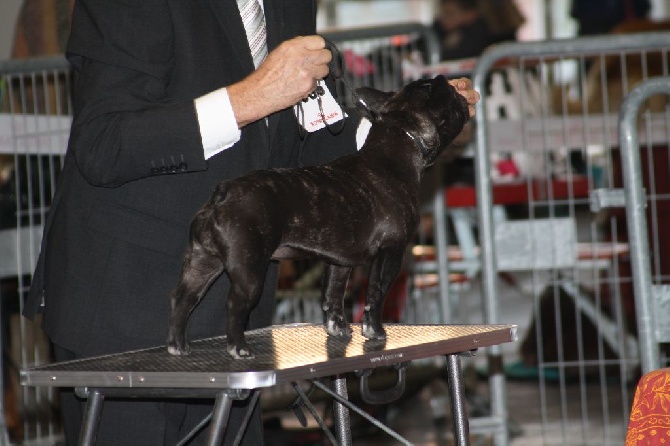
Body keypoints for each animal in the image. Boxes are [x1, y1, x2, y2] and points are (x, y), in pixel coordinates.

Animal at [168, 74, 472, 358]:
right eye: (434, 90)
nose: (450, 82)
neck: (399, 143)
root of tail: (222, 195)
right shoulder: (391, 251)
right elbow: (376, 293)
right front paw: (375, 331)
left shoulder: (339, 261)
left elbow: (332, 293)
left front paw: (338, 329)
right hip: (249, 267)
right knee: (235, 303)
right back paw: (238, 348)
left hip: (202, 261)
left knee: (183, 298)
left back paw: (177, 345)